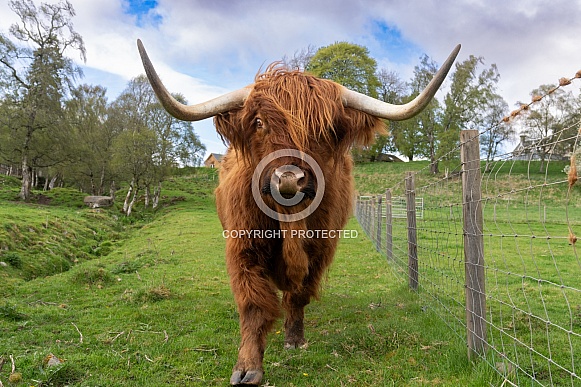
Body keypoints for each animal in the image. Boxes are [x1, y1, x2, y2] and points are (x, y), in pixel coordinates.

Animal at [136, 41, 458, 386]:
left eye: (325, 129)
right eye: (259, 122)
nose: (289, 179)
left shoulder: (320, 249)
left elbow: (298, 294)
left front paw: (294, 338)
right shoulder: (243, 245)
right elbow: (252, 303)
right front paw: (247, 366)